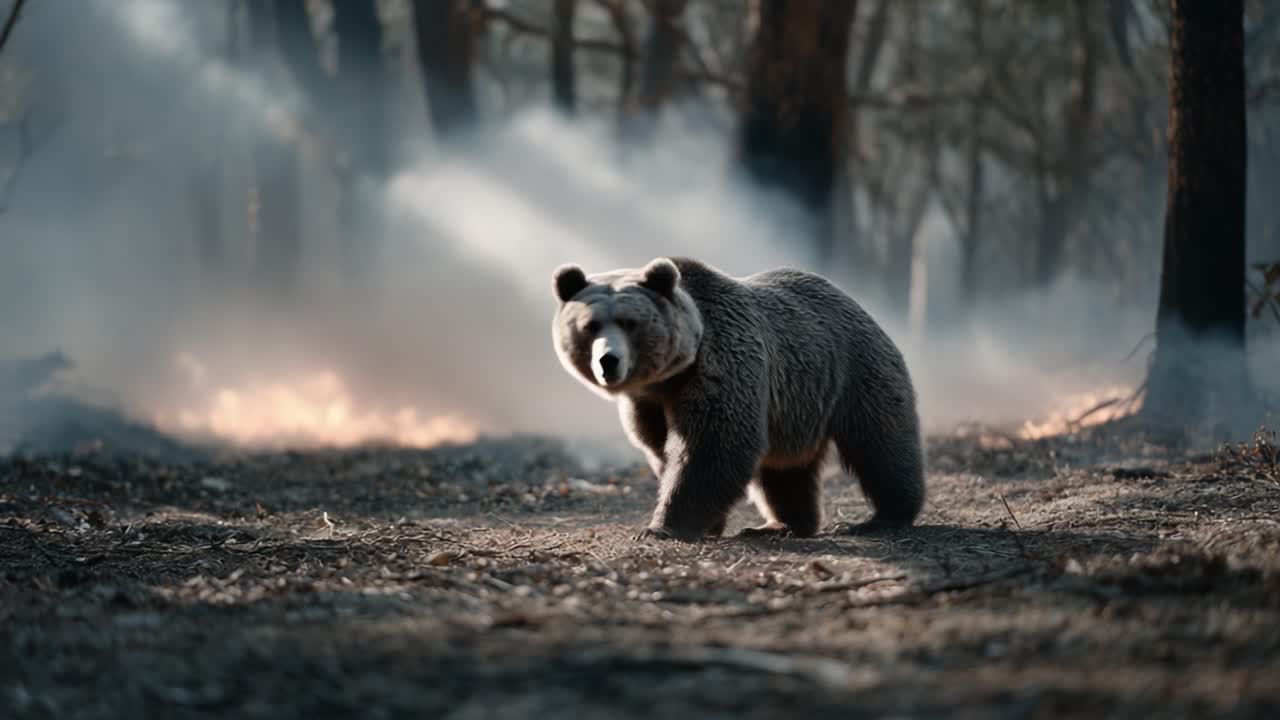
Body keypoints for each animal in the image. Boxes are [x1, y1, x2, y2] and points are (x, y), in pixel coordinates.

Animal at [550, 256, 925, 542]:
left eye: (629, 323)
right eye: (589, 325)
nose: (608, 361)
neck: (670, 378)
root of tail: (852, 300)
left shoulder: (721, 365)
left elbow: (714, 445)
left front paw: (662, 527)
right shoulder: (647, 405)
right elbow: (661, 450)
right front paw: (706, 524)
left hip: (853, 372)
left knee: (880, 444)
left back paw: (884, 516)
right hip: (794, 409)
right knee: (783, 470)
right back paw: (780, 524)